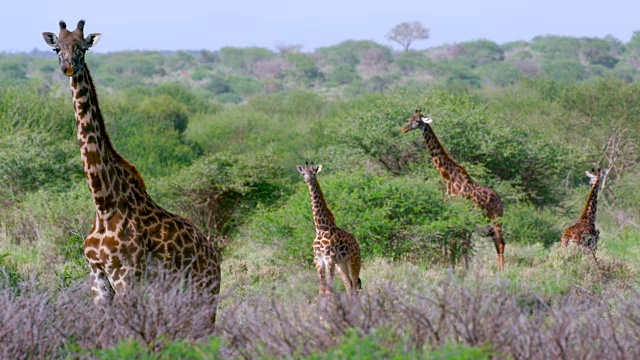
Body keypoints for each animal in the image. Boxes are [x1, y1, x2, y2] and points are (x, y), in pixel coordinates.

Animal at [42, 21, 220, 316]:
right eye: (57, 48)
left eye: (83, 47)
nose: (68, 66)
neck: (104, 203)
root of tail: (214, 253)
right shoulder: (98, 277)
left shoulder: (125, 274)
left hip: (205, 289)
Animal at [296, 162, 360, 298]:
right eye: (303, 173)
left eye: (314, 173)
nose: (308, 180)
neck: (320, 227)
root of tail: (357, 244)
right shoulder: (318, 259)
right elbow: (322, 289)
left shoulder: (329, 258)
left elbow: (329, 290)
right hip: (341, 264)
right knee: (349, 286)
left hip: (354, 260)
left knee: (355, 286)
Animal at [404, 110, 504, 272]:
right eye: (409, 119)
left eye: (417, 121)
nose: (404, 129)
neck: (448, 179)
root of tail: (501, 201)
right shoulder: (453, 213)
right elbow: (453, 242)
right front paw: (455, 267)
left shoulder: (461, 213)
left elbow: (457, 244)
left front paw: (460, 269)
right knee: (496, 243)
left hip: (496, 219)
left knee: (501, 243)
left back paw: (502, 272)